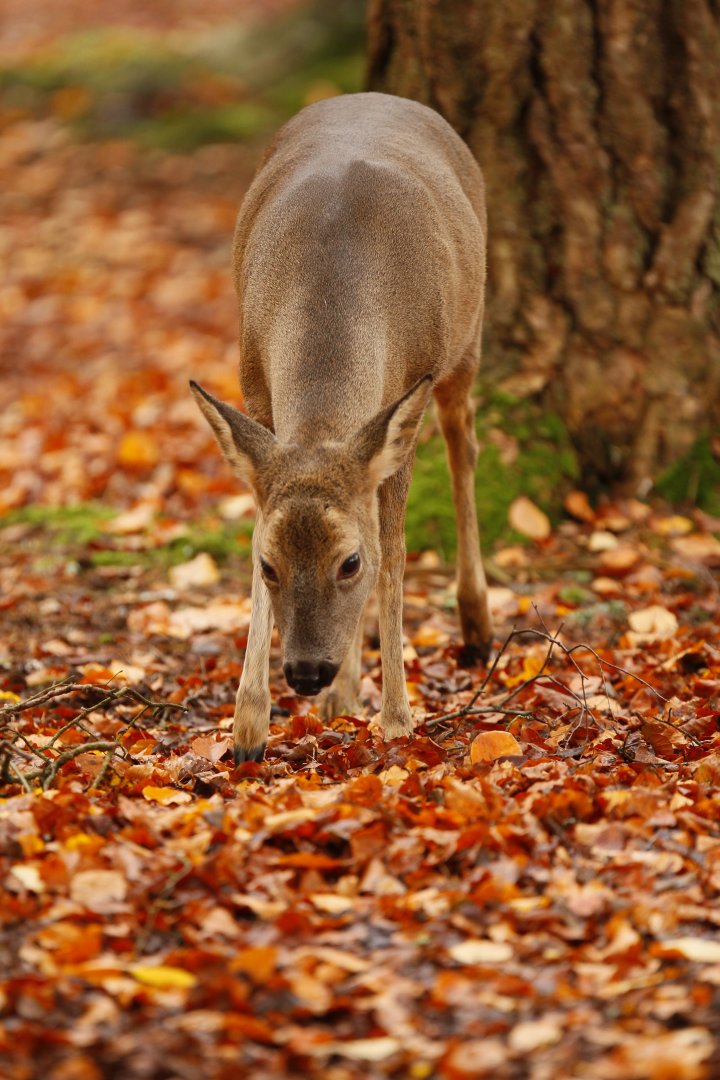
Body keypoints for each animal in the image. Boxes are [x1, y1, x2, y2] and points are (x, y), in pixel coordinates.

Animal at [190, 92, 492, 763]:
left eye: (349, 563)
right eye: (269, 564)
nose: (306, 672)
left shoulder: (408, 402)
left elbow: (394, 556)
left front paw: (399, 721)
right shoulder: (255, 390)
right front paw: (248, 729)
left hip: (466, 342)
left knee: (464, 443)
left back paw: (477, 626)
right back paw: (343, 695)